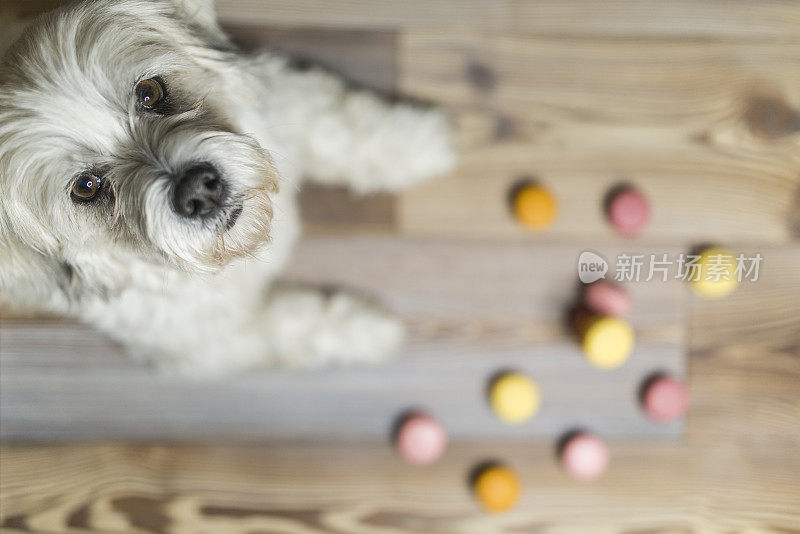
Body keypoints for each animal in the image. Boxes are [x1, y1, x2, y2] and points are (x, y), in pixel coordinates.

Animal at [0, 0, 456, 376]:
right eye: (86, 187)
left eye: (149, 92)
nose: (197, 190)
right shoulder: (210, 345)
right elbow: (296, 326)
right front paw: (366, 330)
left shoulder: (285, 108)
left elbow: (344, 133)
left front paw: (419, 143)